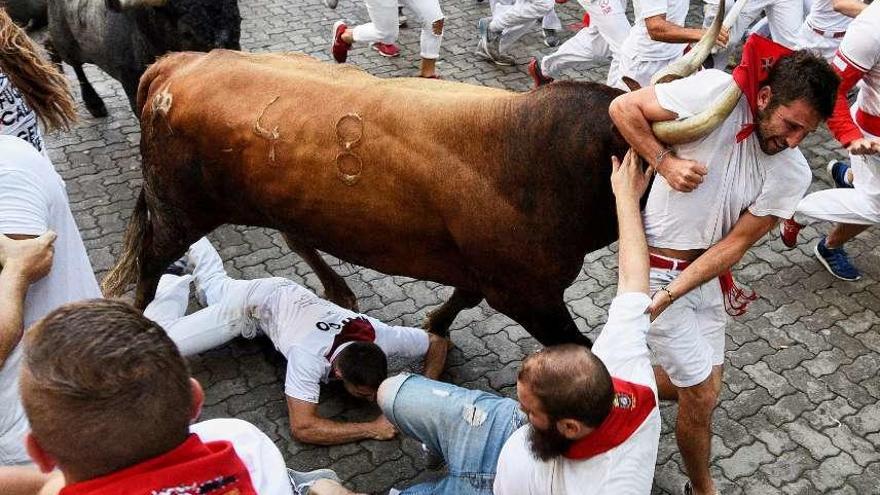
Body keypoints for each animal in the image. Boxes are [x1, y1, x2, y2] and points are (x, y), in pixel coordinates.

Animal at [103, 49, 628, 344]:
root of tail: (177, 62)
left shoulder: (491, 275)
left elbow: (463, 297)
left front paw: (436, 324)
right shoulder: (530, 295)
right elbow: (579, 349)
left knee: (296, 236)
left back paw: (340, 291)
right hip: (179, 207)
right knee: (150, 258)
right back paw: (139, 319)